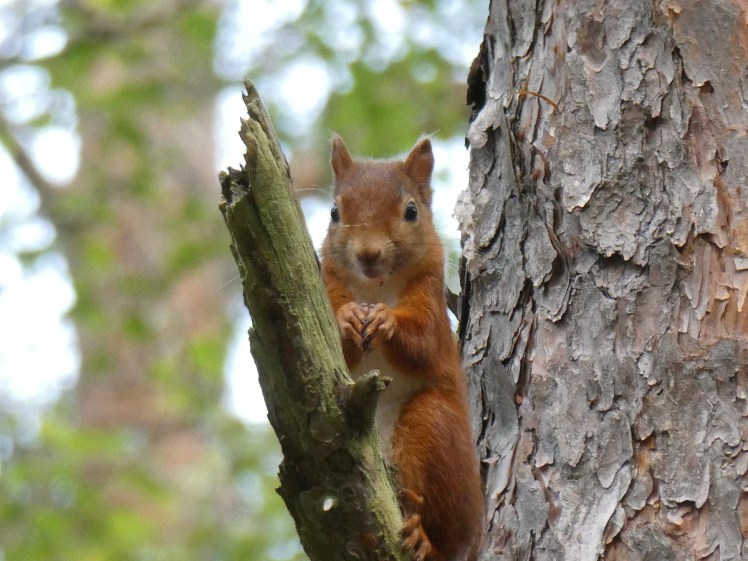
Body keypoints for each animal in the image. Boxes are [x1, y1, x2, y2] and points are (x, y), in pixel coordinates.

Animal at [320, 135, 484, 561]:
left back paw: (424, 538)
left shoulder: (430, 295)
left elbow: (423, 343)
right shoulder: (323, 287)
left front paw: (386, 322)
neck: (376, 287)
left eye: (411, 211)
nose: (368, 254)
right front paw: (347, 319)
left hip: (432, 428)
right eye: (334, 212)